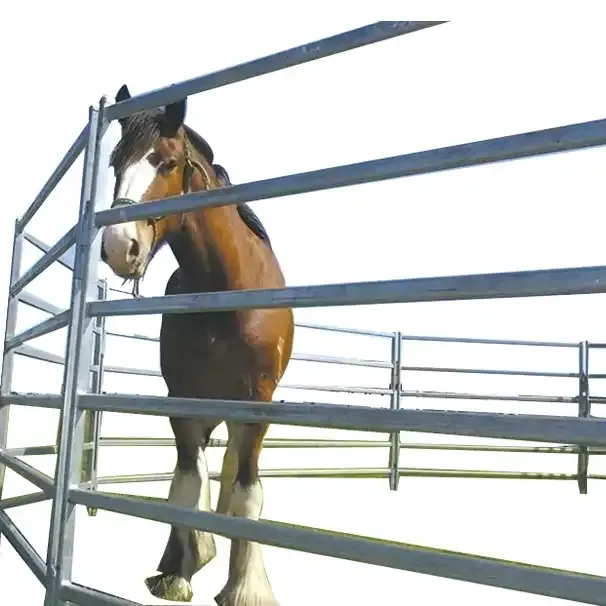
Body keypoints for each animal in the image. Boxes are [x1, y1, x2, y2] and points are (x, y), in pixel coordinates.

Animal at [101, 85, 296, 606]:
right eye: (114, 162)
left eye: (167, 163)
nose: (118, 246)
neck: (225, 293)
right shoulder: (182, 397)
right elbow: (188, 481)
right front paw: (181, 570)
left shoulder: (257, 402)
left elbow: (246, 488)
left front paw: (246, 587)